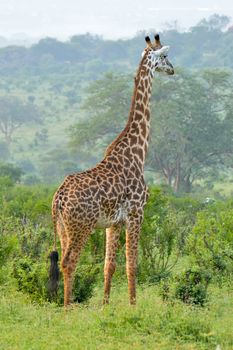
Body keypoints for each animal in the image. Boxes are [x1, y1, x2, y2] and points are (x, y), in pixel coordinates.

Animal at [49, 33, 173, 306]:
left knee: (61, 261)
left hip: (62, 227)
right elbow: (132, 264)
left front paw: (105, 306)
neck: (137, 153)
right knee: (69, 262)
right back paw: (68, 308)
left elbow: (109, 266)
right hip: (81, 226)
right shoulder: (137, 213)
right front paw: (134, 306)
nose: (173, 69)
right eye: (165, 56)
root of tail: (59, 199)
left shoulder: (113, 223)